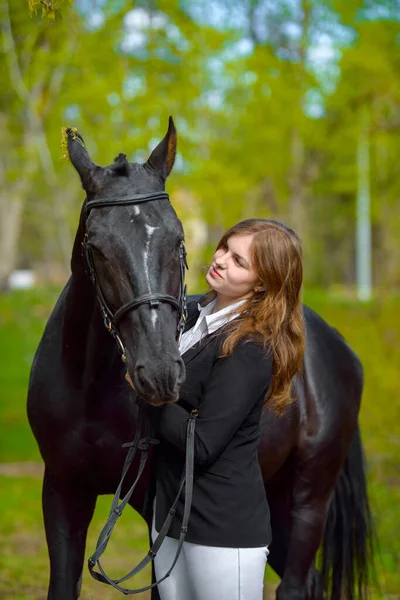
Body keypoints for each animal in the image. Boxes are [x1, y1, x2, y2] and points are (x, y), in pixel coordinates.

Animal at [27, 120, 372, 600]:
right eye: (95, 246)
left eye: (179, 239)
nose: (158, 373)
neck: (90, 387)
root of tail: (333, 344)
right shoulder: (62, 491)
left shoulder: (157, 509)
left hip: (308, 497)